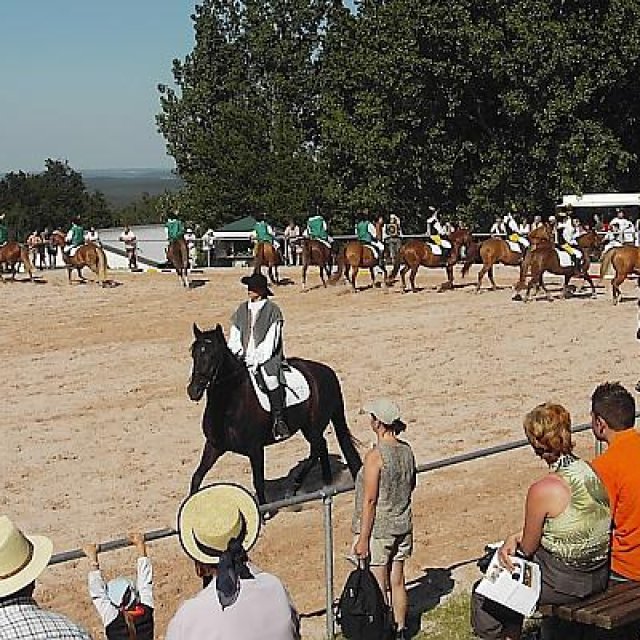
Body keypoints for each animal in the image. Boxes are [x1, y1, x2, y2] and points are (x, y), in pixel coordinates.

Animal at [188, 324, 362, 504]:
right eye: (194, 354)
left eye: (213, 356)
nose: (194, 391)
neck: (229, 405)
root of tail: (328, 371)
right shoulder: (214, 446)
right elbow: (197, 476)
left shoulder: (255, 449)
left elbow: (258, 483)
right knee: (320, 449)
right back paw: (321, 486)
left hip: (312, 427)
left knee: (318, 448)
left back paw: (301, 488)